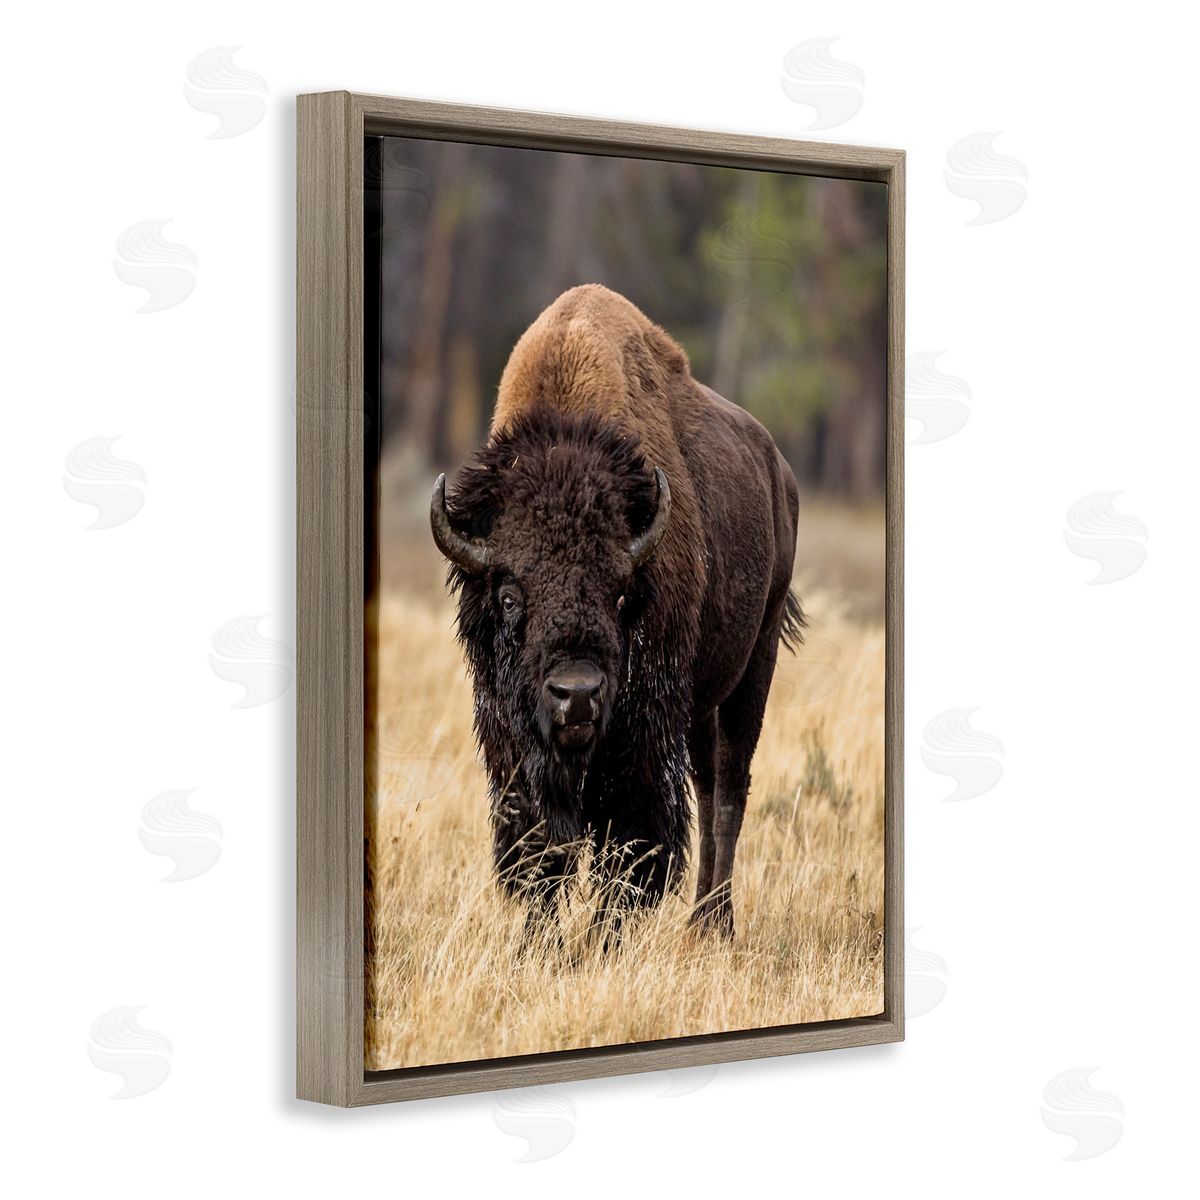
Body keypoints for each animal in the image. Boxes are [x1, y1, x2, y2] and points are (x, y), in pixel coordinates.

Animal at [431, 284, 803, 941]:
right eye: (509, 595)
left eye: (620, 592)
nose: (576, 694)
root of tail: (779, 471)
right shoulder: (512, 738)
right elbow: (541, 846)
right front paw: (540, 943)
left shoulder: (641, 732)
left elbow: (628, 843)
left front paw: (601, 940)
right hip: (701, 702)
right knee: (708, 786)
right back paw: (699, 920)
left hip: (753, 665)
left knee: (730, 789)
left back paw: (716, 925)